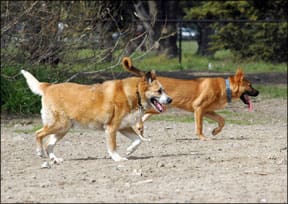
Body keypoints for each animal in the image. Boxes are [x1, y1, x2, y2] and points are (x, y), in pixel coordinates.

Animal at [22, 57, 173, 163]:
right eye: (159, 91)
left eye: (164, 89)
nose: (170, 100)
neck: (135, 93)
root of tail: (48, 86)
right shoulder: (112, 128)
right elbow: (113, 146)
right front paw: (118, 158)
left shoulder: (123, 127)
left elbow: (138, 140)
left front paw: (129, 150)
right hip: (60, 124)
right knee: (38, 134)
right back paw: (39, 152)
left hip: (63, 128)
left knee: (49, 144)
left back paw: (55, 159)